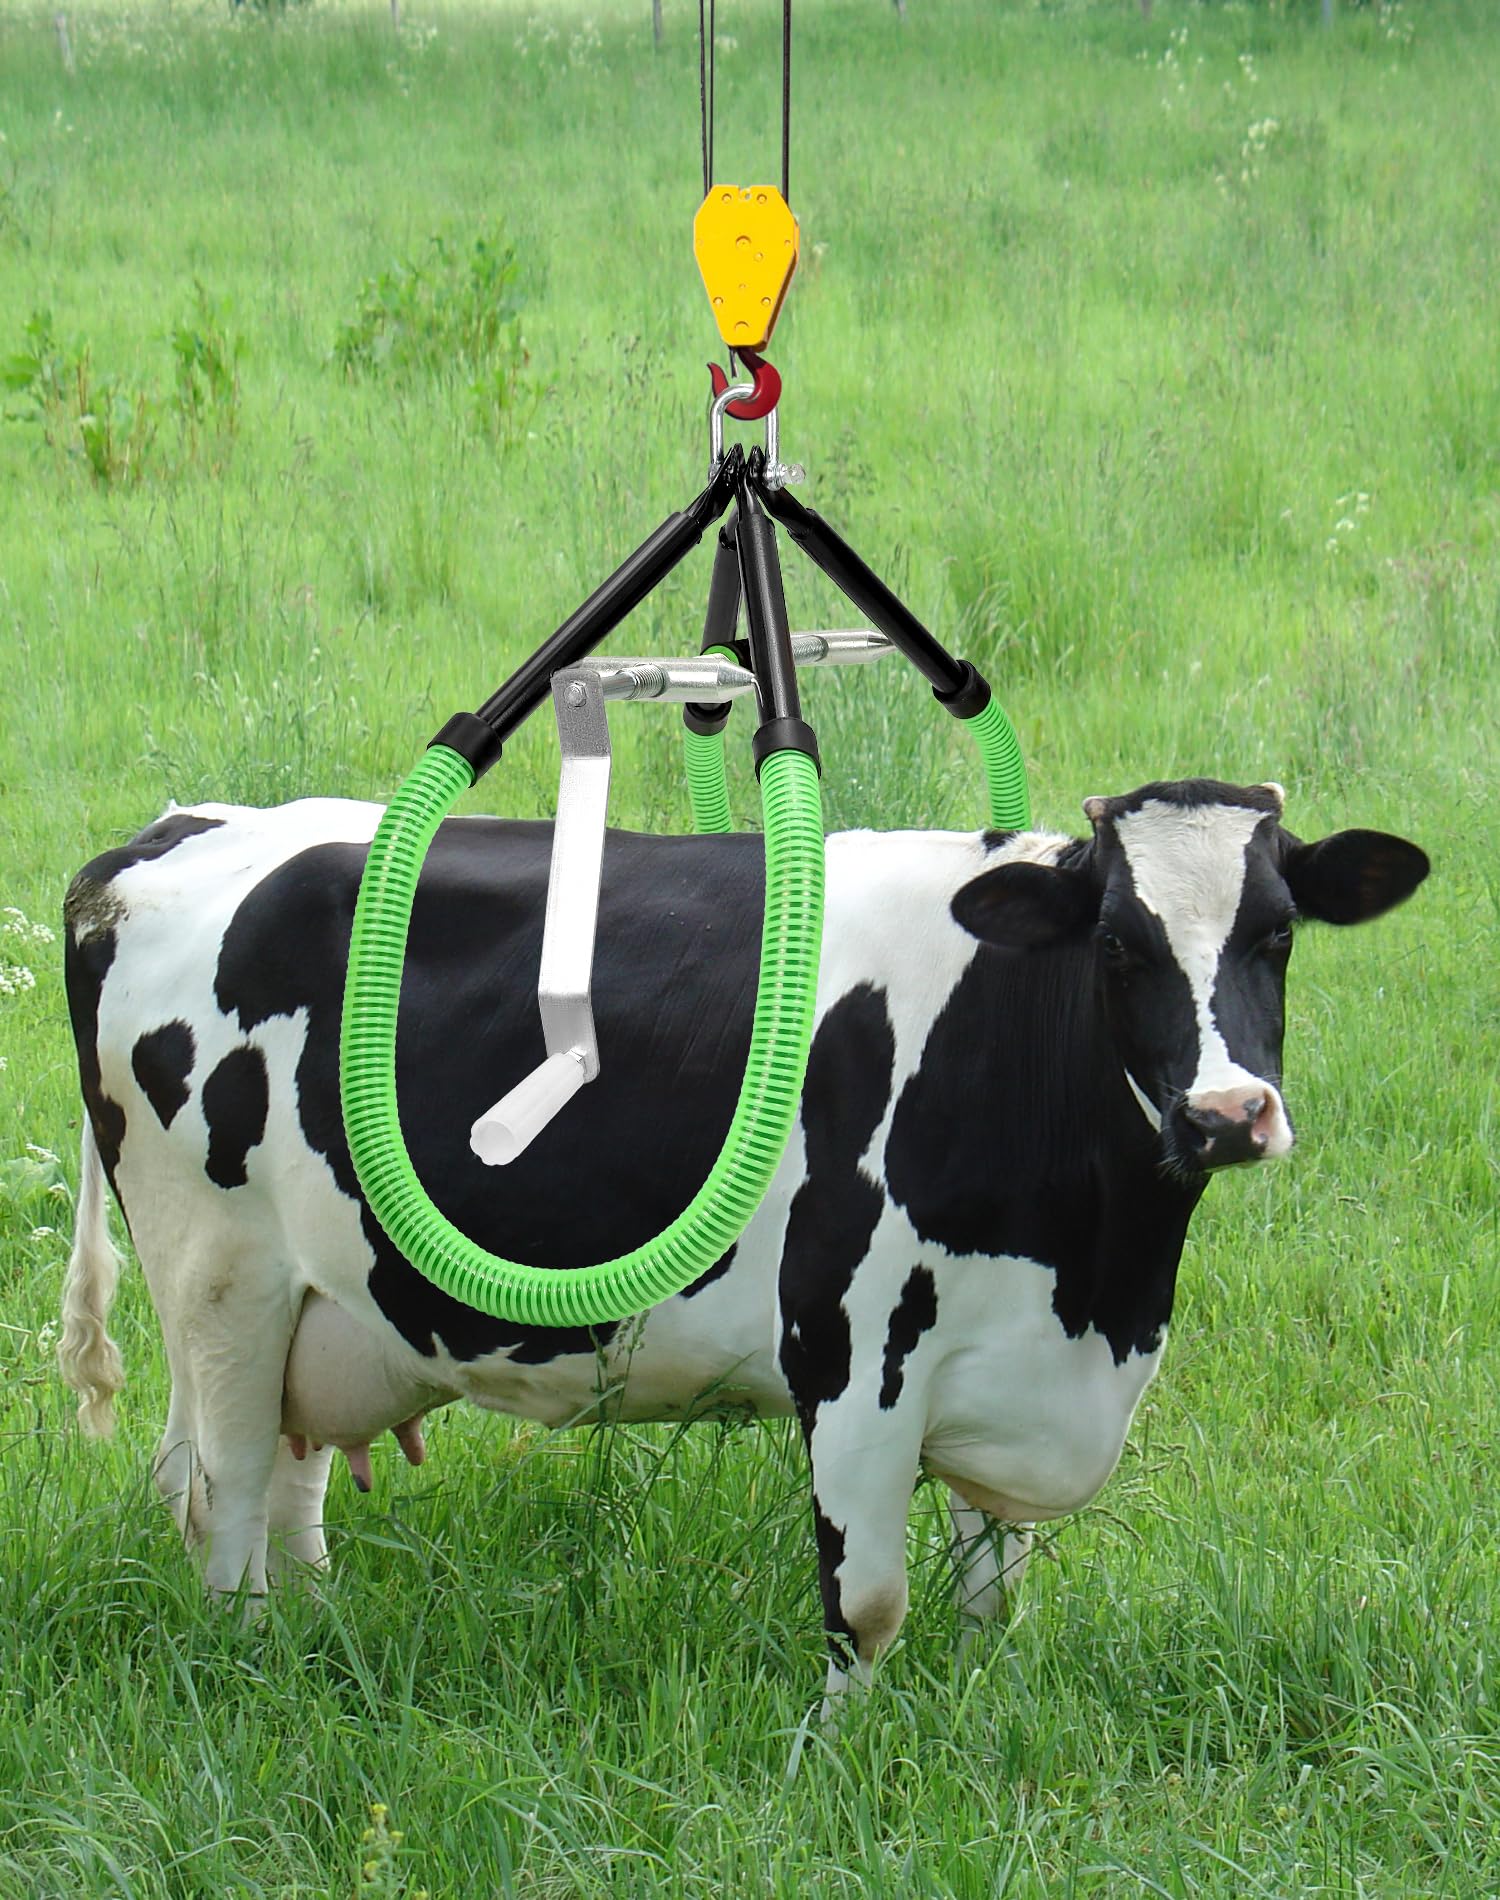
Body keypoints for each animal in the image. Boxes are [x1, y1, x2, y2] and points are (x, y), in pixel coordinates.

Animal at [58, 778, 1427, 1701]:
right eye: (1117, 942)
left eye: (1279, 932)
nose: (1228, 1113)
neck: (1100, 1284)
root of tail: (163, 838)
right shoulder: (856, 1348)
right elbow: (868, 1602)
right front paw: (843, 1762)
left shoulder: (1011, 1356)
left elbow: (994, 1589)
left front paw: (981, 1720)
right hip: (219, 1279)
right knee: (222, 1495)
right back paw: (255, 1669)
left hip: (323, 1297)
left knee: (288, 1485)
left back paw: (318, 1639)